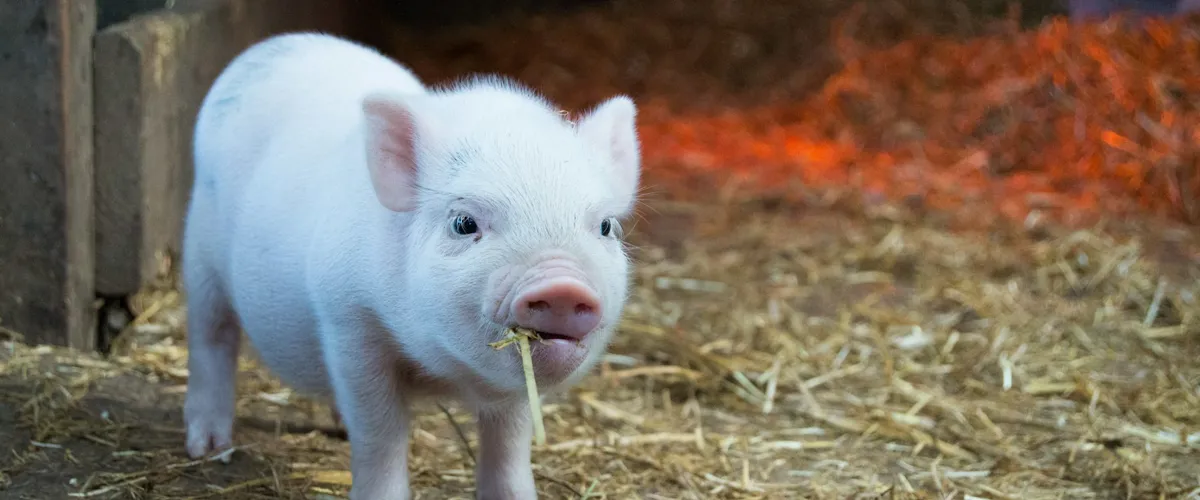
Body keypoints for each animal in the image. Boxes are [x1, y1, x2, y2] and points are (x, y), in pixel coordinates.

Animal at [181, 32, 640, 500]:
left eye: (606, 226)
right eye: (464, 223)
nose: (563, 286)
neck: (443, 371)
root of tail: (274, 45)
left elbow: (509, 443)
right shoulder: (349, 323)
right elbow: (380, 434)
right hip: (199, 251)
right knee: (211, 336)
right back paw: (208, 447)